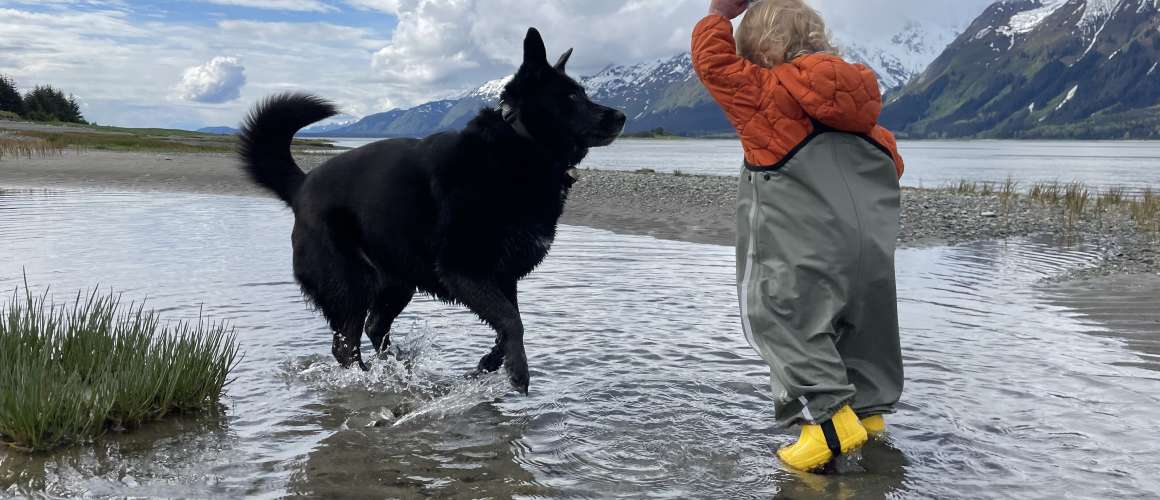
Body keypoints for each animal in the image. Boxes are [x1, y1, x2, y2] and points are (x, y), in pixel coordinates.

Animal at [237, 28, 626, 394]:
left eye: (584, 93)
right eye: (571, 96)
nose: (622, 115)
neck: (521, 145)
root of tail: (301, 185)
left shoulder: (503, 276)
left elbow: (508, 325)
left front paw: (487, 365)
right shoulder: (464, 269)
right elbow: (511, 321)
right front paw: (518, 372)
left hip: (397, 281)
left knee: (374, 328)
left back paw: (399, 369)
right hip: (351, 283)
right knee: (345, 345)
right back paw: (368, 379)